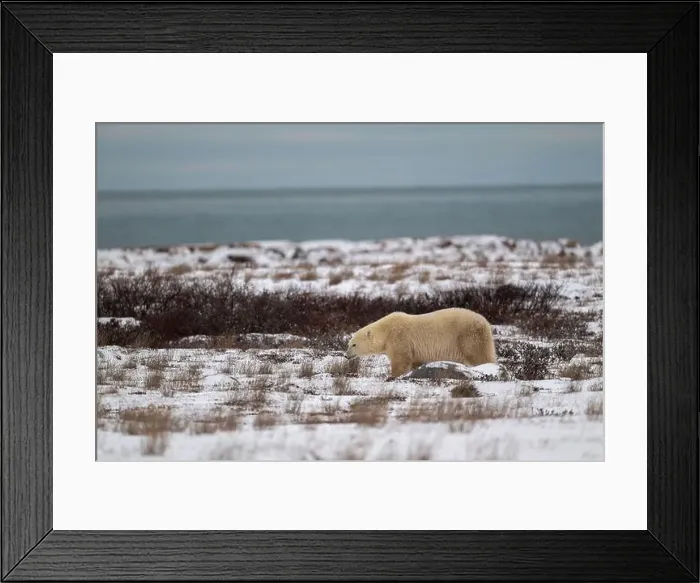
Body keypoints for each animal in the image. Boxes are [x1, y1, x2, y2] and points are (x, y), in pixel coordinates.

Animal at [345, 307, 496, 379]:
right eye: (348, 344)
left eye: (354, 344)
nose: (346, 355)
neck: (386, 331)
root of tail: (485, 322)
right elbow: (415, 362)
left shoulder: (399, 338)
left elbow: (401, 360)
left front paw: (392, 376)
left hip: (469, 335)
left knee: (479, 355)